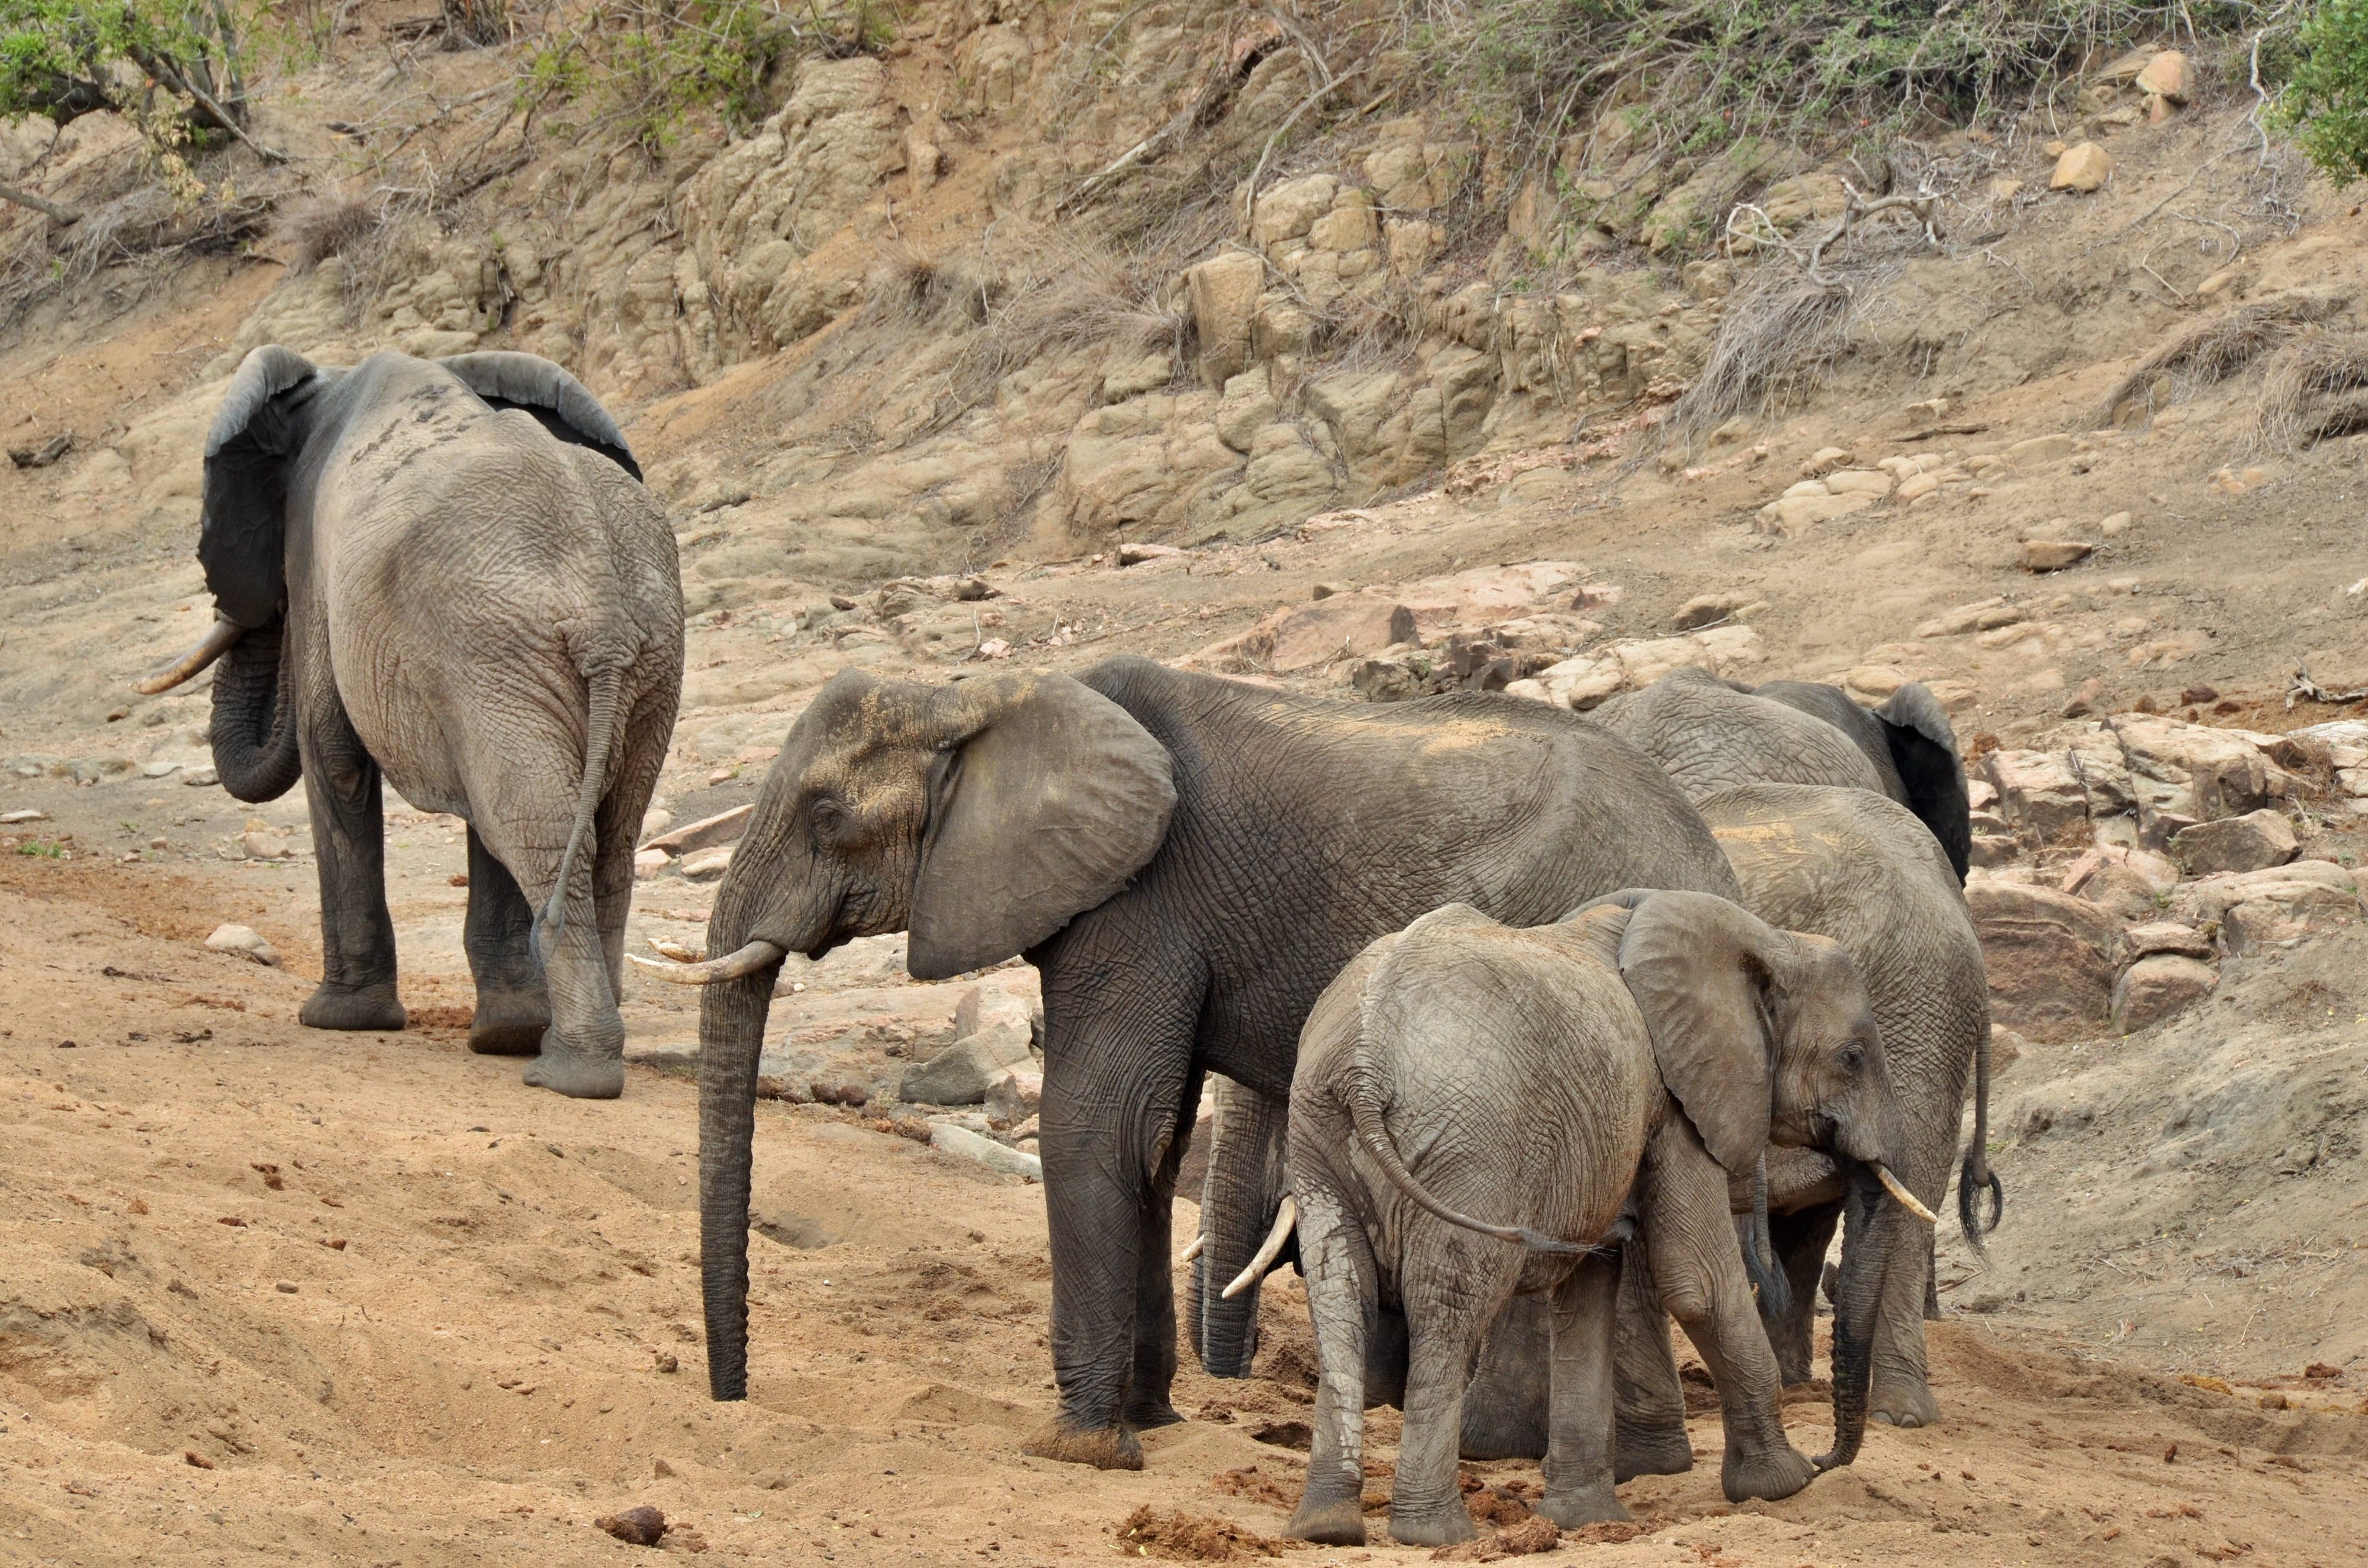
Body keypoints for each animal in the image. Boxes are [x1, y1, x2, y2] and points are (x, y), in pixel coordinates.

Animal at [137, 348, 682, 1099]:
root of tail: (602, 596)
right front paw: (502, 1033)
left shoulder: (315, 551)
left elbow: (331, 753)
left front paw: (338, 1021)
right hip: (619, 657)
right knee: (592, 830)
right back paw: (551, 1048)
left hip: (511, 647)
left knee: (533, 829)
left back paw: (568, 1073)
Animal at [630, 658, 1743, 1468]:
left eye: (826, 815)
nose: (734, 1397)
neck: (984, 698)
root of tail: (1713, 856)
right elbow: (1153, 1142)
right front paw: (1152, 1424)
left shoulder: (1137, 904)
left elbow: (1099, 1121)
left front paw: (1081, 1448)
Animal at [1288, 890, 1932, 1553]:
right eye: (1852, 1058)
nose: (1828, 1460)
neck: (1767, 938)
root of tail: (1365, 1062)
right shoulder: (1675, 1099)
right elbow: (1697, 1282)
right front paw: (1784, 1484)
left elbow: (1590, 1286)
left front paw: (1585, 1519)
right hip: (1472, 1150)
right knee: (1450, 1303)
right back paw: (1435, 1533)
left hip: (1318, 1134)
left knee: (1340, 1296)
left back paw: (1327, 1527)